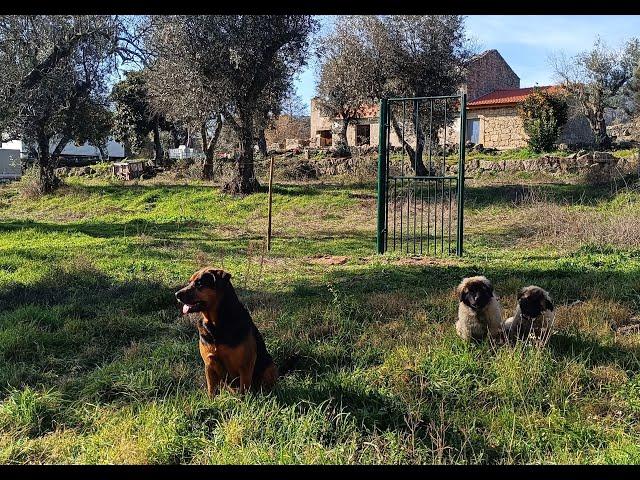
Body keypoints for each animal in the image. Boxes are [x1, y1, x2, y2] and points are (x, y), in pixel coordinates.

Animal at [175, 266, 278, 398]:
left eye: (199, 283)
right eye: (189, 282)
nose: (177, 294)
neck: (216, 324)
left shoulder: (246, 364)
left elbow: (244, 389)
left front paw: (244, 401)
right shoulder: (209, 364)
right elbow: (211, 389)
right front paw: (211, 401)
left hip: (270, 367)